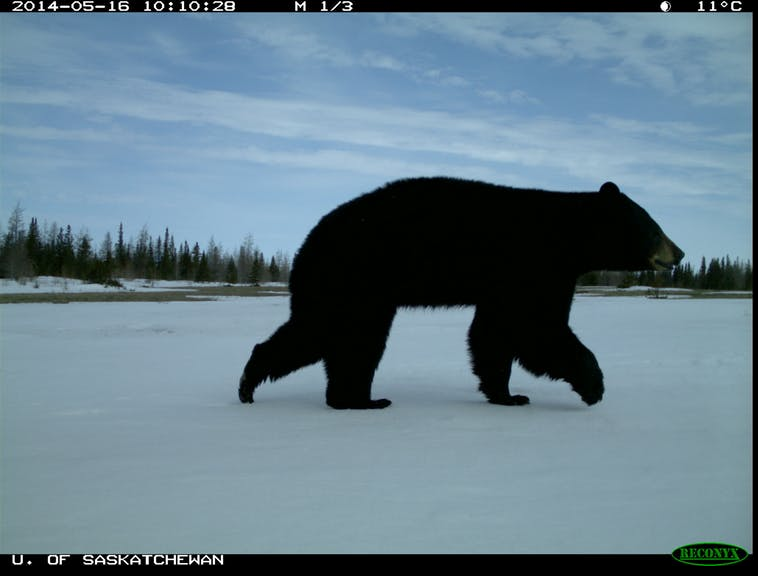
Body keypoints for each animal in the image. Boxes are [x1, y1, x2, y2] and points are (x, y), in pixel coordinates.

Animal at [240, 178, 684, 408]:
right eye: (654, 227)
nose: (679, 253)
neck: (567, 238)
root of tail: (308, 241)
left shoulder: (509, 283)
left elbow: (495, 334)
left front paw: (507, 394)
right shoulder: (534, 266)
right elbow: (539, 330)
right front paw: (594, 386)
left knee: (329, 336)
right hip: (354, 280)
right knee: (341, 336)